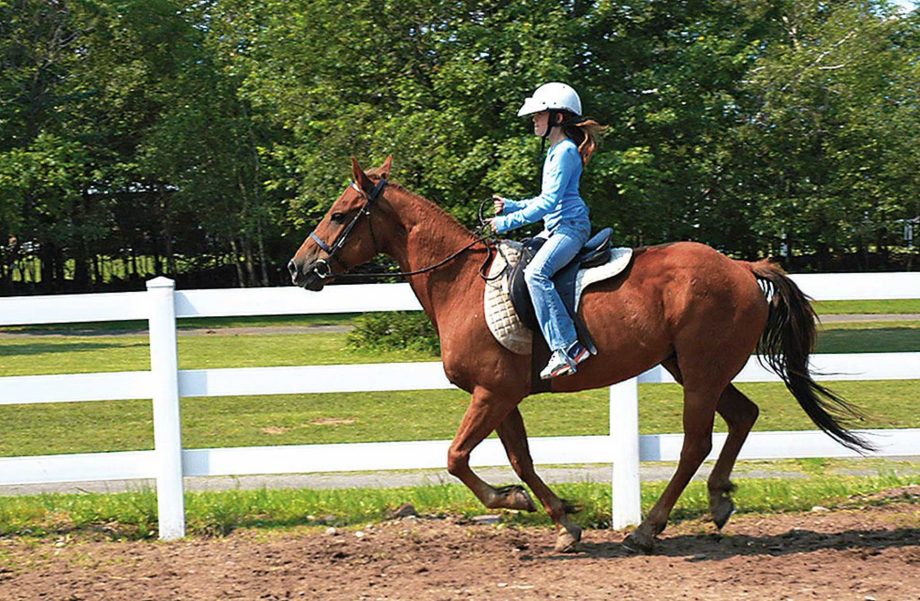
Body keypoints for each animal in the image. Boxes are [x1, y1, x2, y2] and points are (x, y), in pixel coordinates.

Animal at [288, 156, 868, 552]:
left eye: (340, 215)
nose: (299, 268)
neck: (460, 283)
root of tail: (743, 267)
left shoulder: (491, 392)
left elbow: (456, 457)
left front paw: (513, 503)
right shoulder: (501, 396)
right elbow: (520, 460)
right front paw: (563, 520)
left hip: (702, 373)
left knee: (695, 443)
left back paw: (648, 529)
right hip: (693, 368)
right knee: (743, 416)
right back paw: (719, 498)